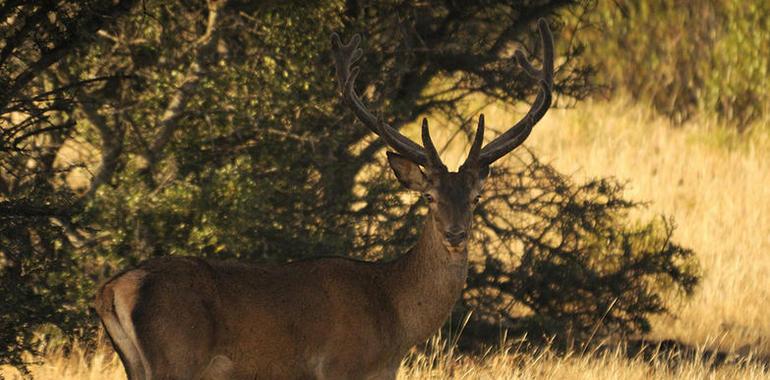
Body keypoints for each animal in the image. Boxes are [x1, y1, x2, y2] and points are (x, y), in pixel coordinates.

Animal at [94, 18, 552, 380]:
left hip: (139, 365)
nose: (456, 234)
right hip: (176, 356)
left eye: (475, 197)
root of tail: (113, 288)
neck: (394, 319)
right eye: (429, 196)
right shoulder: (340, 365)